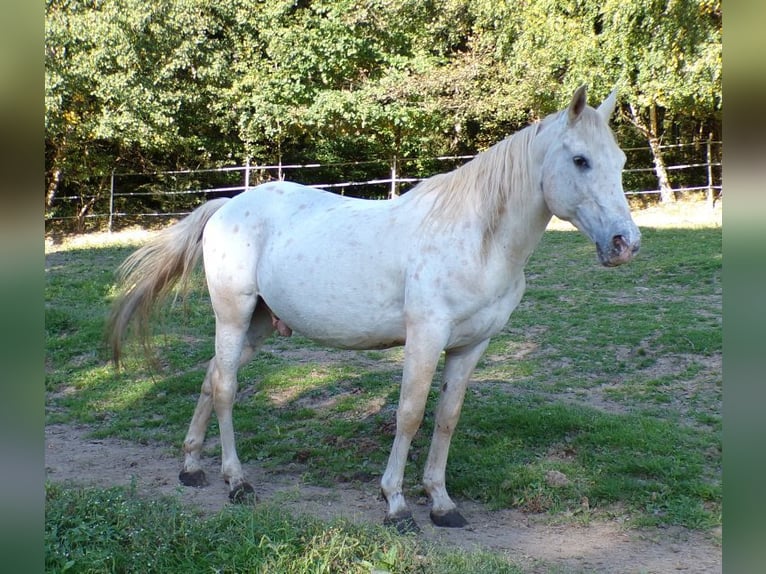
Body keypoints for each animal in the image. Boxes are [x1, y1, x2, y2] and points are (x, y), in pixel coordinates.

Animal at [107, 85, 640, 532]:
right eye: (580, 160)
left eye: (619, 160)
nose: (625, 244)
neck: (479, 238)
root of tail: (228, 205)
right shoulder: (425, 338)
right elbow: (409, 414)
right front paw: (397, 505)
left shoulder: (471, 346)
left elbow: (447, 417)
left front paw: (442, 503)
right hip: (234, 316)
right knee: (225, 389)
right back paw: (236, 481)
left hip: (257, 325)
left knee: (211, 378)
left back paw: (192, 467)